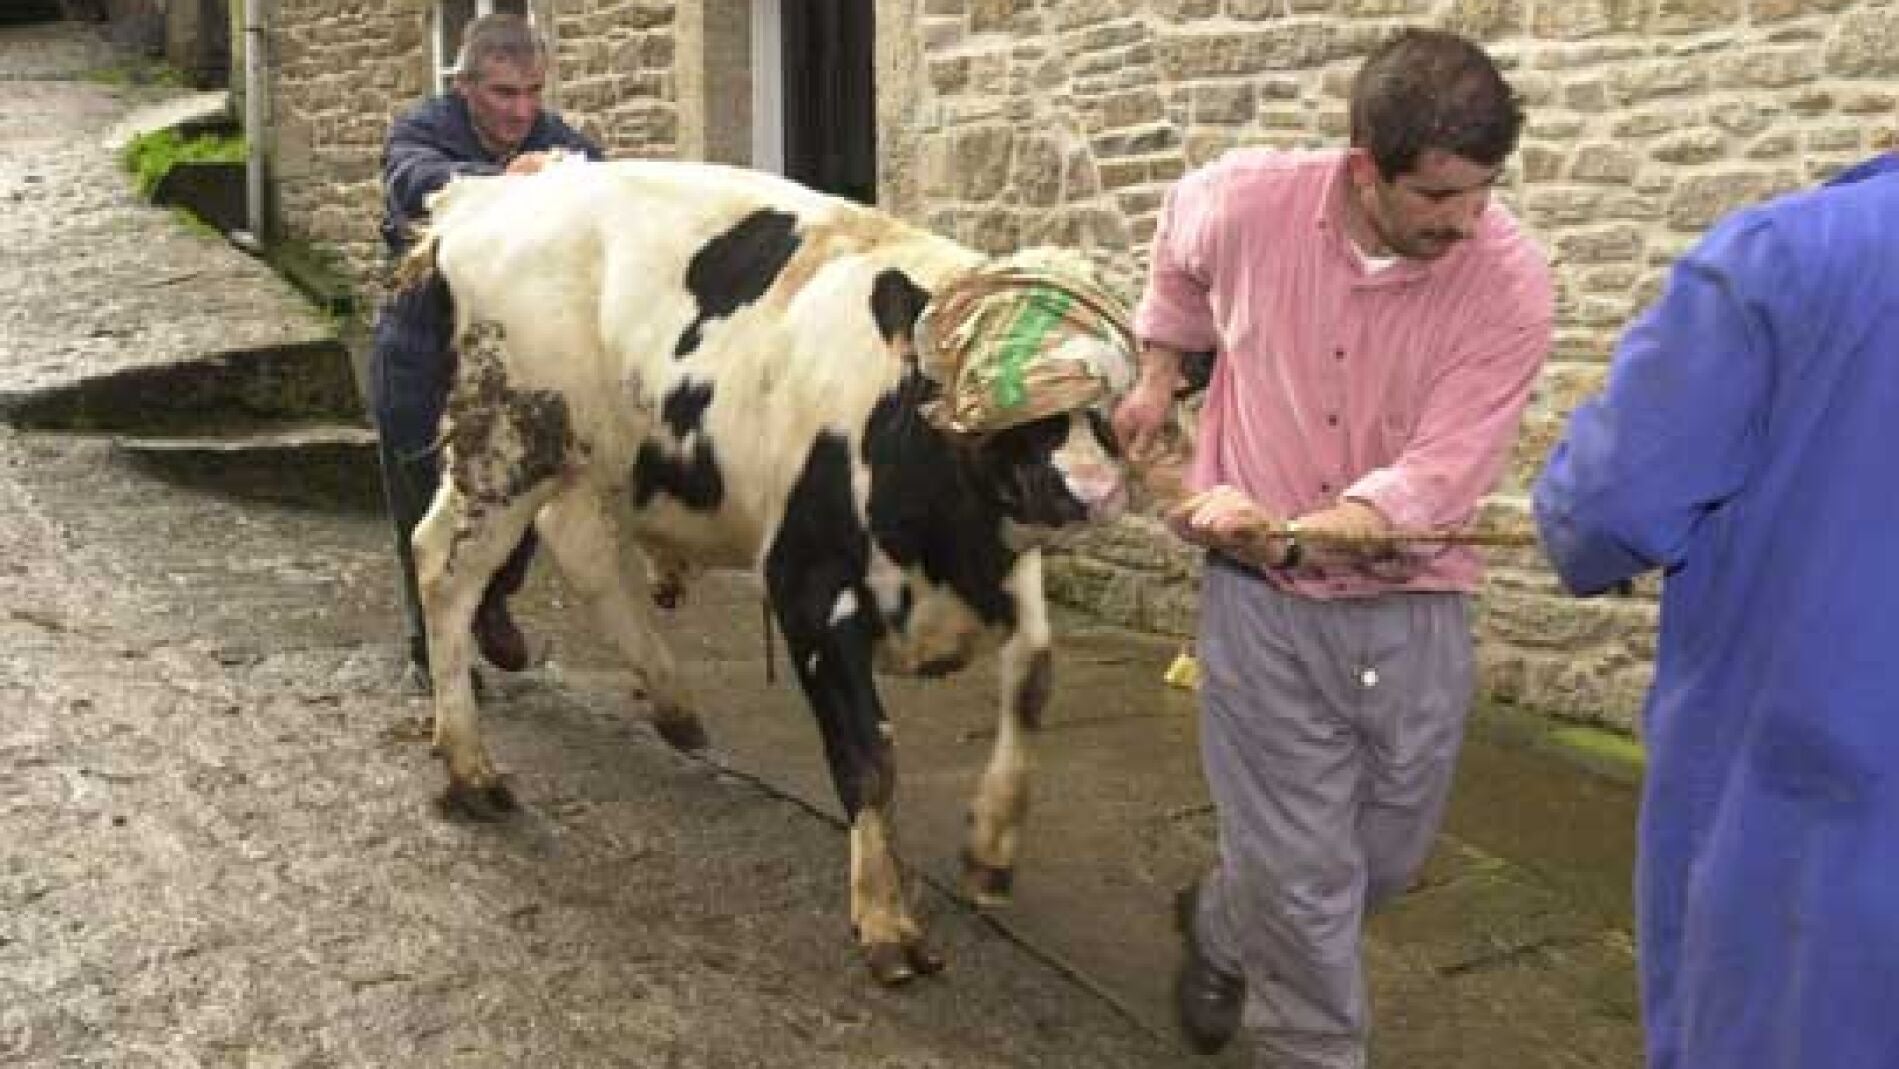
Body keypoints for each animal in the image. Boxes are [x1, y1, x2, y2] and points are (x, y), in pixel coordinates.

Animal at [400, 160, 1134, 984]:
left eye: (1104, 400)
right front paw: (885, 919)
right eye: (991, 400)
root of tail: (491, 193)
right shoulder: (806, 587)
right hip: (508, 442)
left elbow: (1033, 675)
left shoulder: (1005, 565)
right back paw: (471, 767)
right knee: (446, 567)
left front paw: (990, 845)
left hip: (580, 453)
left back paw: (672, 703)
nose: (1088, 489)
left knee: (573, 541)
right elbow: (866, 755)